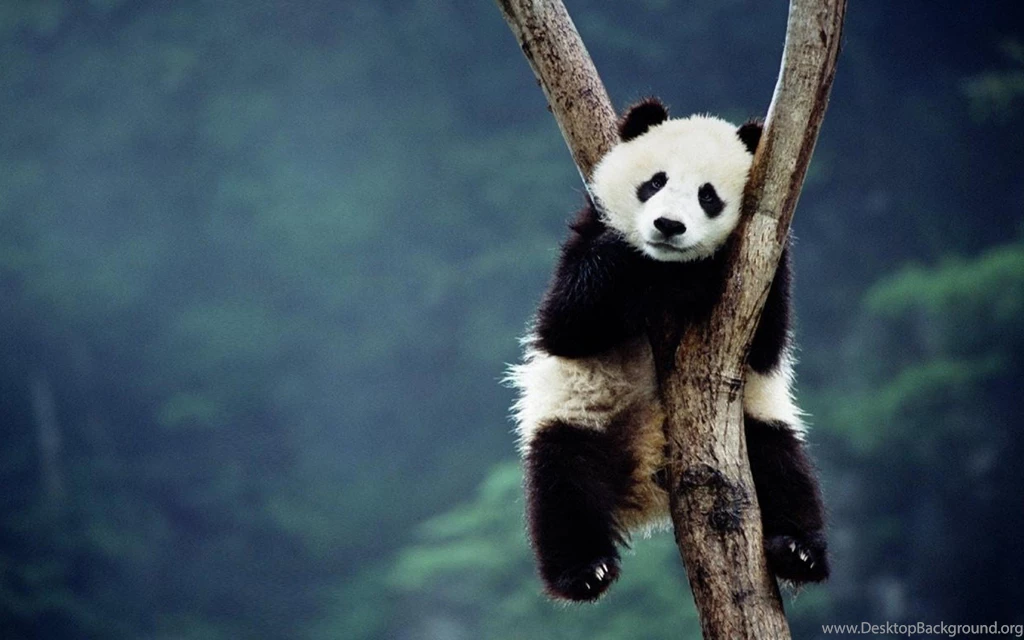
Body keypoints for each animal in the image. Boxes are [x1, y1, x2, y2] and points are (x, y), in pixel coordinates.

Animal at [507, 98, 828, 602]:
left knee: (784, 468)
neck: (666, 268)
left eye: (708, 196)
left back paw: (798, 551)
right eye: (654, 182)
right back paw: (585, 571)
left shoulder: (763, 264)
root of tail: (647, 484)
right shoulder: (587, 234)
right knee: (562, 487)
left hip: (753, 426)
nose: (668, 226)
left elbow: (766, 345)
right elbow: (566, 322)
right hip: (579, 417)